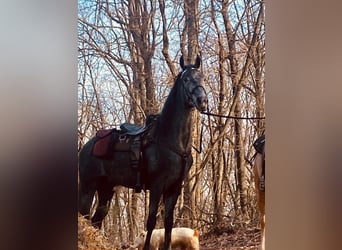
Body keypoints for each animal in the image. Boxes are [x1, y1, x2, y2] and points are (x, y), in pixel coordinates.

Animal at [79, 55, 208, 250]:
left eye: (202, 78)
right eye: (186, 79)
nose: (202, 101)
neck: (171, 141)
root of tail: (86, 146)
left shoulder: (174, 188)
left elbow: (168, 223)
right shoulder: (156, 186)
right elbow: (151, 222)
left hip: (106, 190)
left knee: (95, 221)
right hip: (88, 186)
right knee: (84, 217)